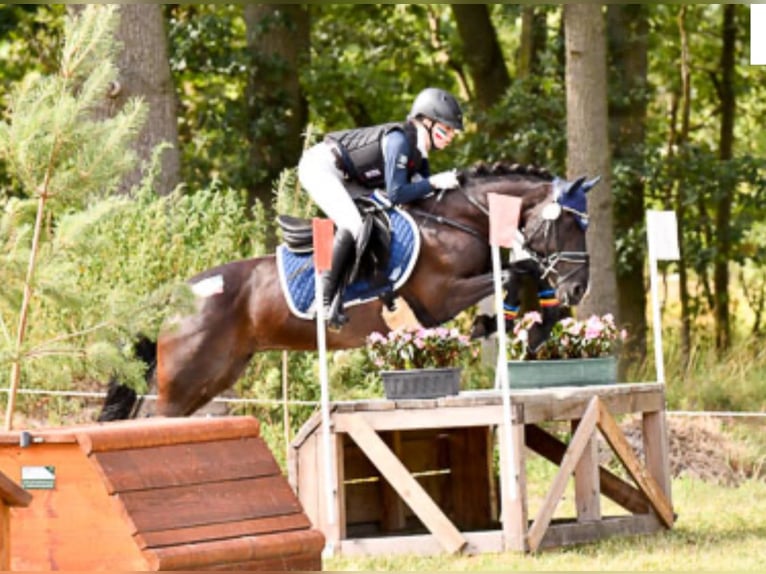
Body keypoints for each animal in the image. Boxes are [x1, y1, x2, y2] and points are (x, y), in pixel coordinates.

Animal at [100, 164, 592, 420]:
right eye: (568, 225)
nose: (579, 287)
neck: (453, 220)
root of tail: (175, 297)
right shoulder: (439, 296)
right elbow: (517, 270)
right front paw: (500, 323)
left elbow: (521, 268)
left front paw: (530, 323)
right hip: (183, 380)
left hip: (215, 375)